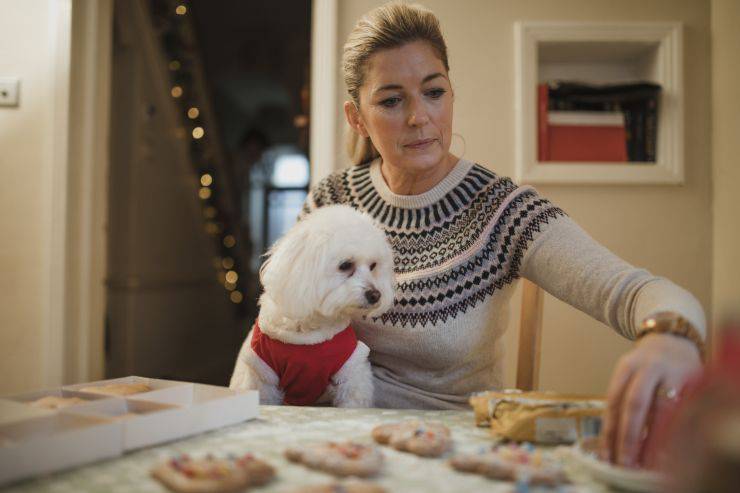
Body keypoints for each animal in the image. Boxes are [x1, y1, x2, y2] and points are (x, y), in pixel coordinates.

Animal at [230, 204, 394, 408]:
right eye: (345, 265)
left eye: (373, 266)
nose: (375, 295)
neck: (309, 330)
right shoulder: (264, 375)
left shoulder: (350, 368)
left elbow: (353, 399)